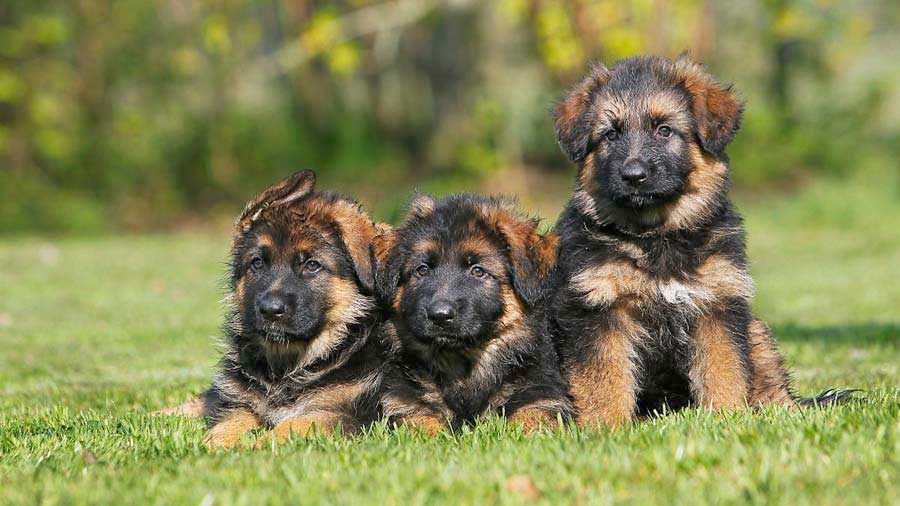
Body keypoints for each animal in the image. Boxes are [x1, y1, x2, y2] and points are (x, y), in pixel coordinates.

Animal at [195, 170, 388, 446]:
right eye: (257, 263)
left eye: (312, 265)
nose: (270, 310)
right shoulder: (244, 405)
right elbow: (228, 423)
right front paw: (213, 444)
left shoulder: (350, 415)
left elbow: (294, 424)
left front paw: (256, 446)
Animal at [374, 194, 572, 434]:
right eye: (422, 270)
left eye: (478, 271)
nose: (440, 315)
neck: (464, 363)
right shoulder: (407, 404)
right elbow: (423, 427)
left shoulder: (540, 394)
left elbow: (531, 420)